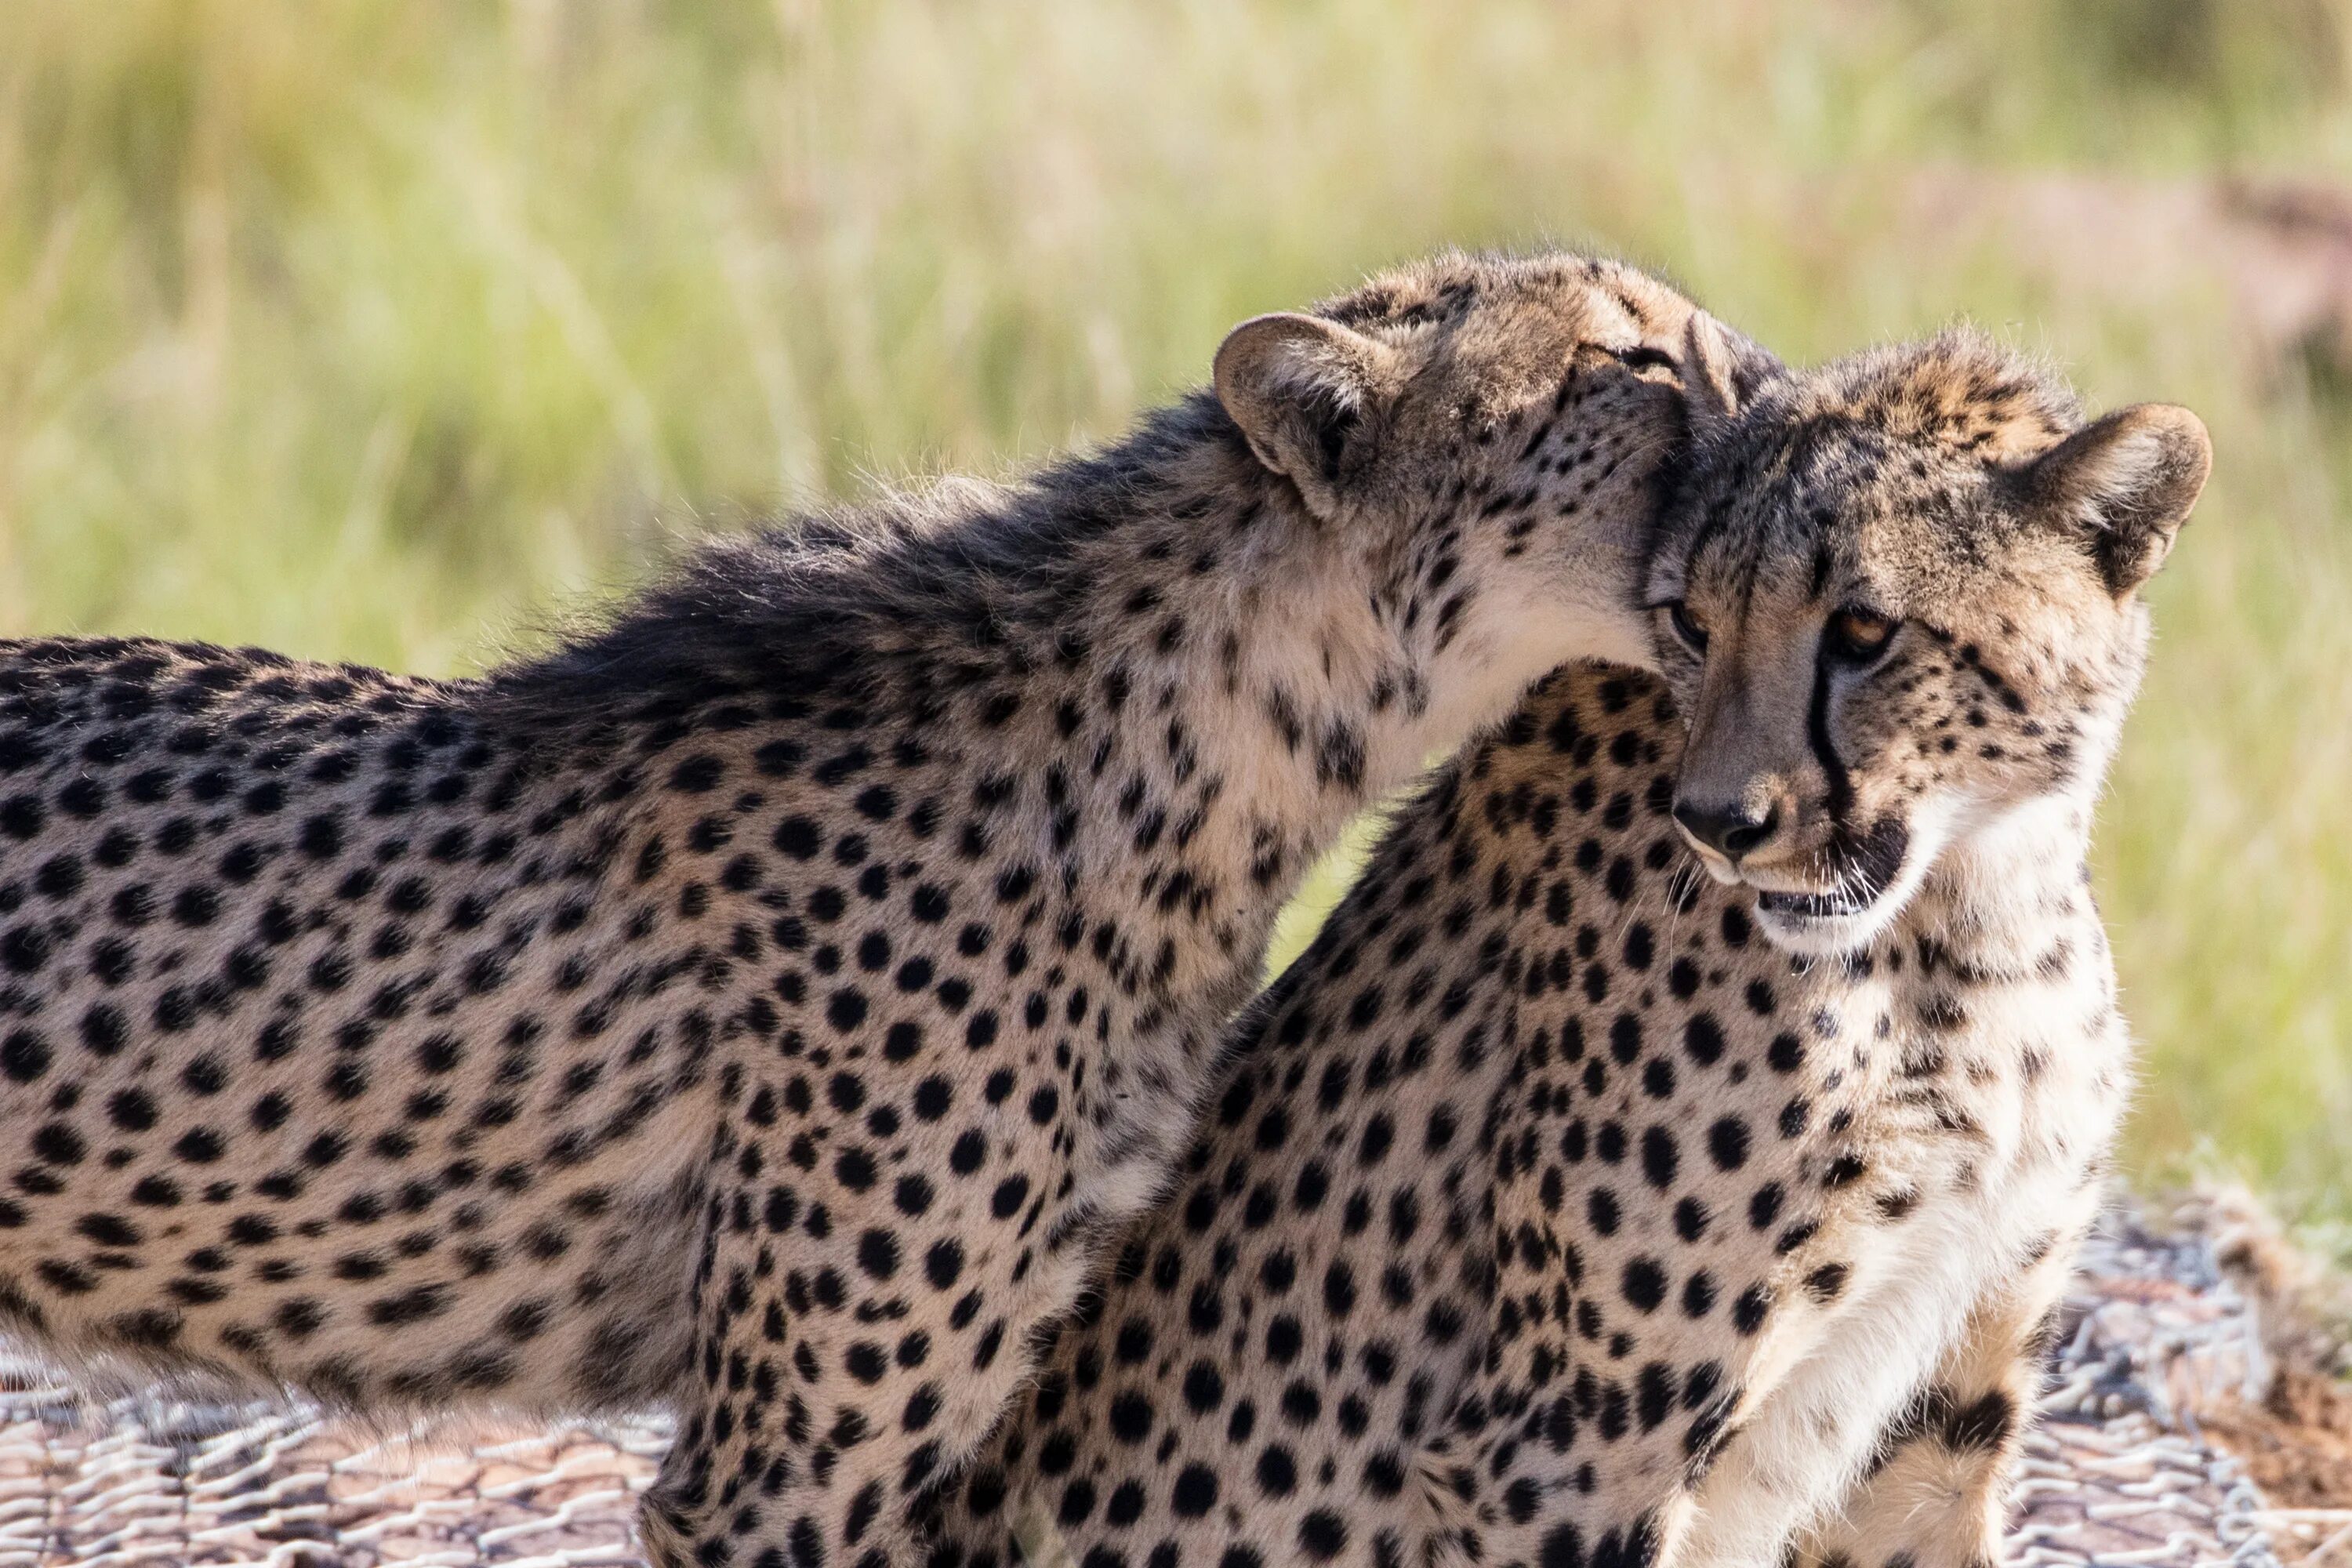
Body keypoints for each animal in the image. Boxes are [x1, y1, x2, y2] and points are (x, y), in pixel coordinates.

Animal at [931, 331, 2201, 1568]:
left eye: (1864, 630)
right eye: (1691, 619)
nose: (1719, 823)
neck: (1976, 912)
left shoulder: (1945, 1411)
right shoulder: (1565, 1452)